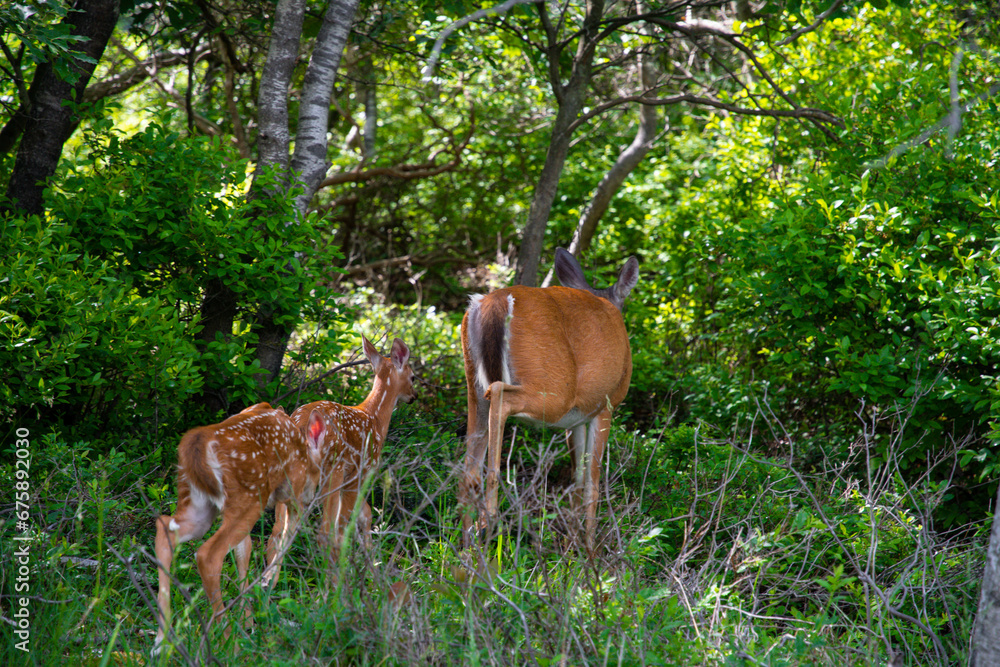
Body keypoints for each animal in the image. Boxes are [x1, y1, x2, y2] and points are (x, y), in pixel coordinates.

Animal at [153, 402, 330, 653]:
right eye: (319, 469)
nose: (313, 495)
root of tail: (196, 443)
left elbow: (243, 551)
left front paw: (248, 618)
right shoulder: (292, 491)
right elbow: (284, 537)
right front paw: (267, 583)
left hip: (201, 503)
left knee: (165, 529)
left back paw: (162, 640)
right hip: (249, 497)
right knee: (208, 554)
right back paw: (228, 643)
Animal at [265, 336, 417, 582]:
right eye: (413, 376)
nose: (414, 396)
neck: (375, 418)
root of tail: (300, 425)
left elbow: (363, 514)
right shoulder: (360, 471)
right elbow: (351, 522)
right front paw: (371, 574)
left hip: (292, 476)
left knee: (278, 531)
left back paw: (267, 585)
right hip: (332, 469)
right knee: (325, 531)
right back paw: (331, 585)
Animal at [459, 247, 639, 554]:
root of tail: (495, 302)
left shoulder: (577, 419)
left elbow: (577, 478)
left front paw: (572, 545)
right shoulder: (605, 405)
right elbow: (591, 483)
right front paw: (590, 552)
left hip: (473, 383)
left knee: (468, 469)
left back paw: (462, 547)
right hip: (552, 388)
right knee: (500, 396)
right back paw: (489, 524)